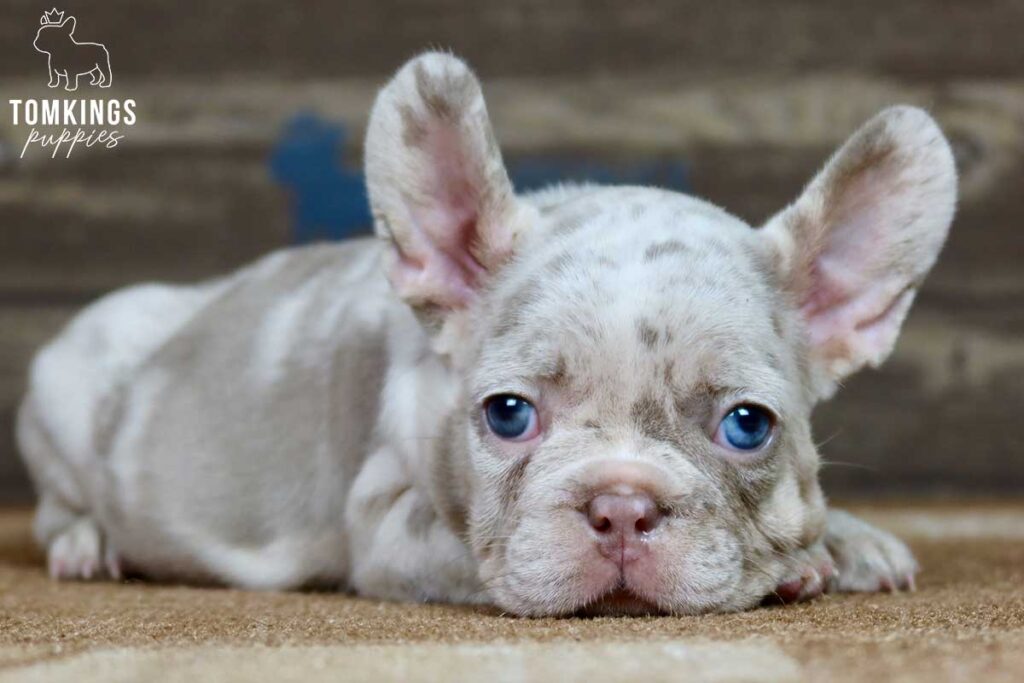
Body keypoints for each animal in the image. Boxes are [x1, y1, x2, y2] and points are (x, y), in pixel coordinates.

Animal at [16, 53, 954, 618]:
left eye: (748, 425)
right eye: (508, 413)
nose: (622, 503)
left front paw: (846, 539)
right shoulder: (392, 527)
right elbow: (474, 551)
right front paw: (805, 562)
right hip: (60, 391)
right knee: (60, 504)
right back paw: (88, 542)